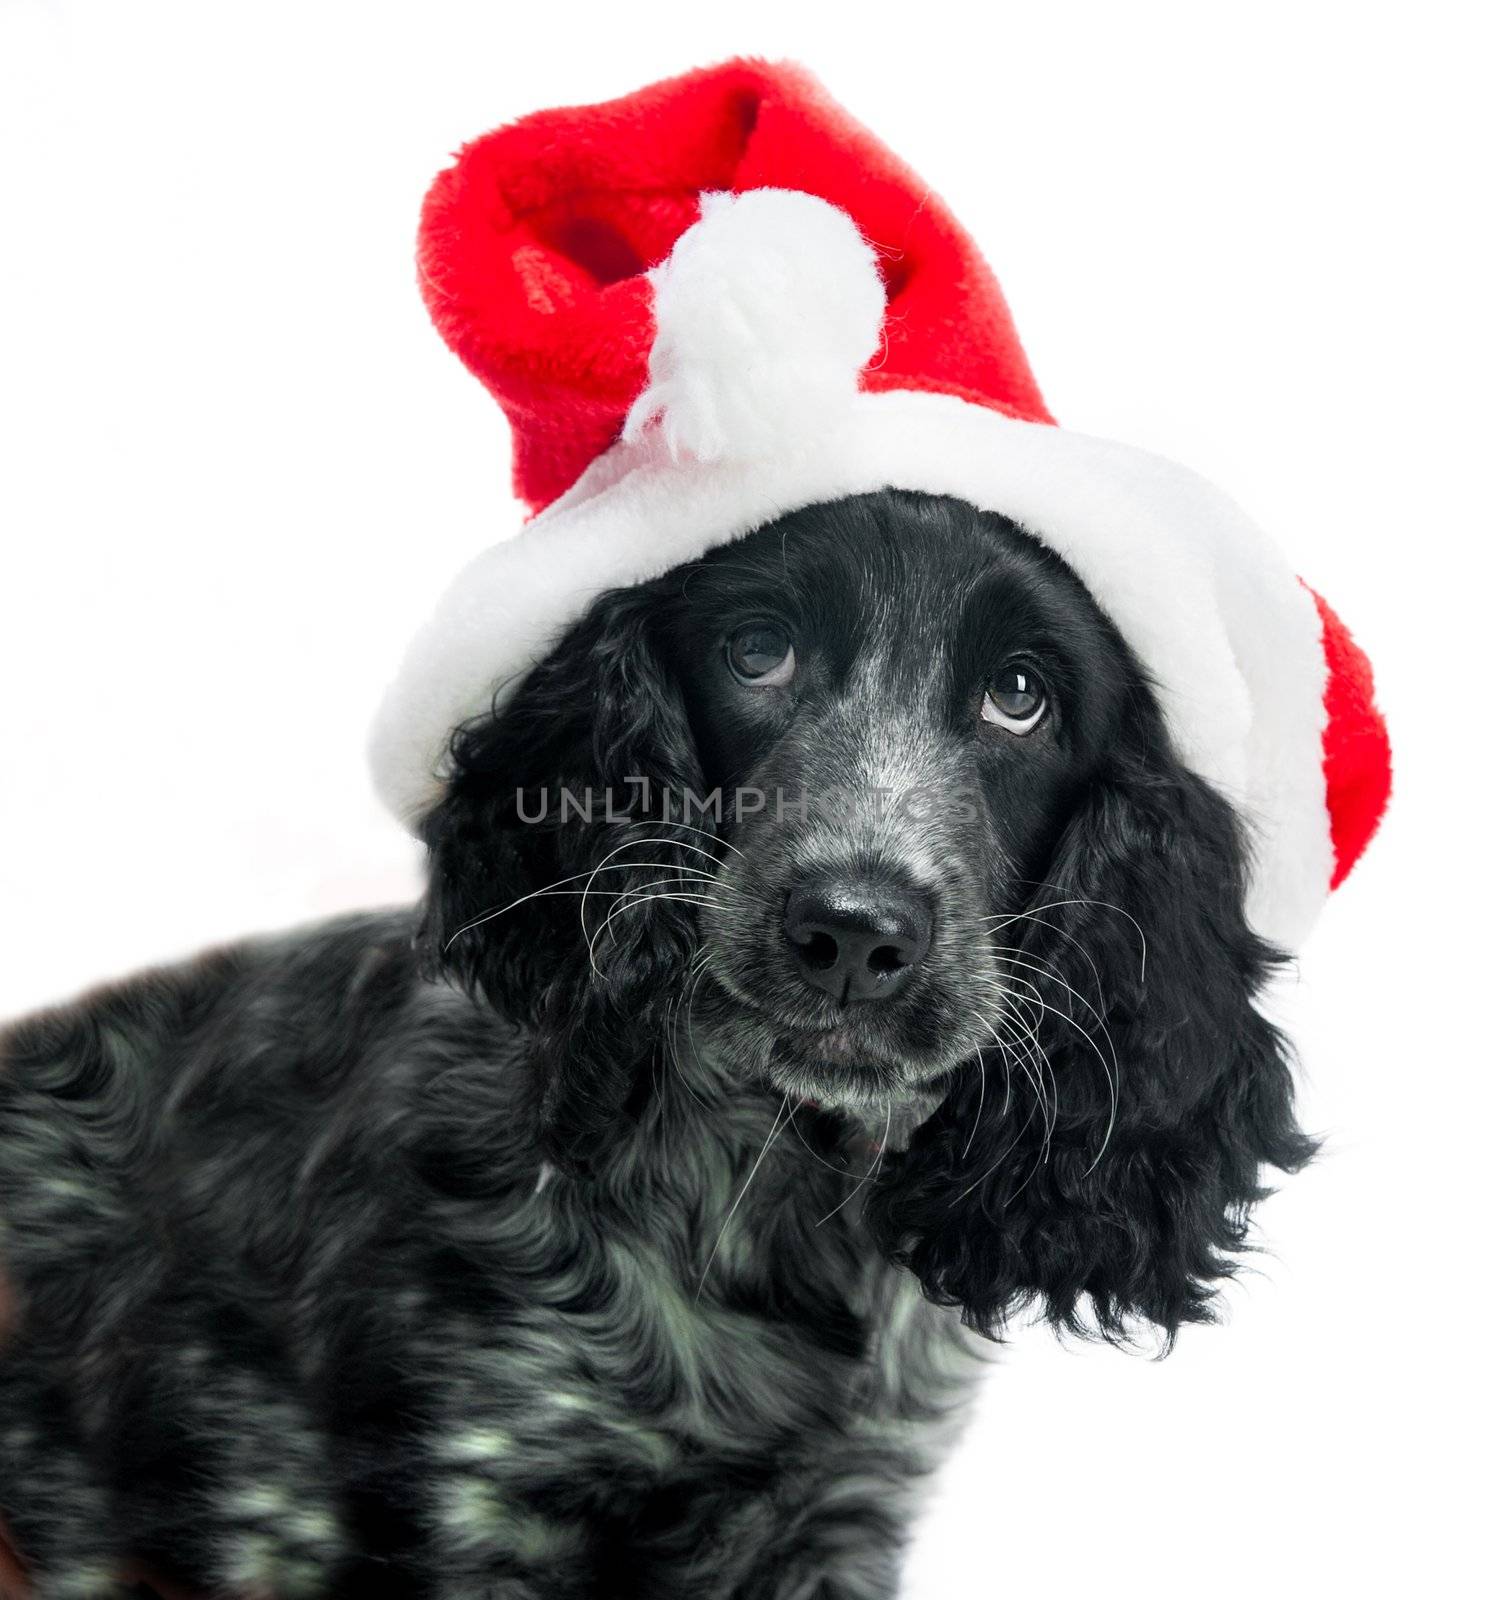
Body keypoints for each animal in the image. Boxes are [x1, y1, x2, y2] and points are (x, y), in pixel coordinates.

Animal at [0, 489, 1311, 1600]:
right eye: (756, 649)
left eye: (1021, 694)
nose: (851, 931)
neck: (775, 1197)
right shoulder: (472, 1503)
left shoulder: (836, 1515)